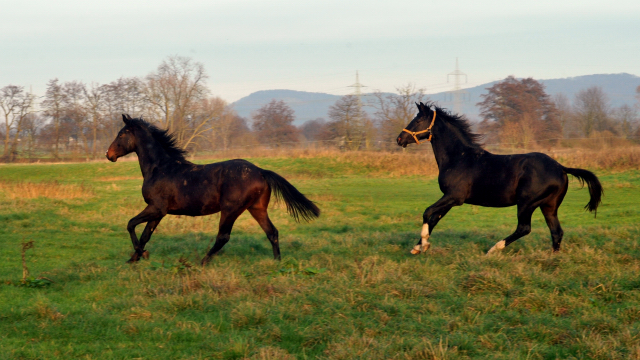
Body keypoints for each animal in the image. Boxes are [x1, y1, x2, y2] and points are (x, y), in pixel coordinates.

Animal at [107, 115, 322, 264]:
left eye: (121, 134)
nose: (108, 155)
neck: (160, 168)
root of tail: (260, 171)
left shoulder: (156, 208)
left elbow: (130, 224)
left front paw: (141, 254)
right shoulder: (159, 212)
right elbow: (145, 234)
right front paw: (134, 258)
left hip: (230, 210)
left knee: (223, 237)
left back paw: (202, 261)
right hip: (257, 208)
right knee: (272, 232)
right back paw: (277, 261)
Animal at [398, 103, 604, 256]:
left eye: (419, 119)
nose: (399, 139)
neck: (459, 158)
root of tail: (561, 167)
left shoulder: (454, 197)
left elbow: (427, 213)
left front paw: (423, 244)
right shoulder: (450, 199)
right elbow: (434, 218)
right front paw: (418, 247)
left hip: (527, 203)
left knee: (524, 228)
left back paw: (493, 249)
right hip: (549, 206)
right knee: (556, 232)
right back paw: (552, 258)